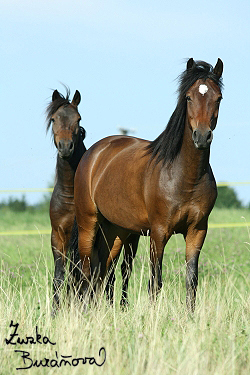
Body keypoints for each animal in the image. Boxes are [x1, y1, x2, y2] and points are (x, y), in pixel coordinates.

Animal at [73, 58, 223, 312]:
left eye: (218, 97)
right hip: (89, 224)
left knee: (102, 271)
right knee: (87, 272)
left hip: (116, 231)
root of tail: (93, 154)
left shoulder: (197, 231)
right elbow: (156, 281)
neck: (184, 177)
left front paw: (190, 316)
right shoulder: (159, 232)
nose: (202, 136)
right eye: (188, 97)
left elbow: (191, 281)